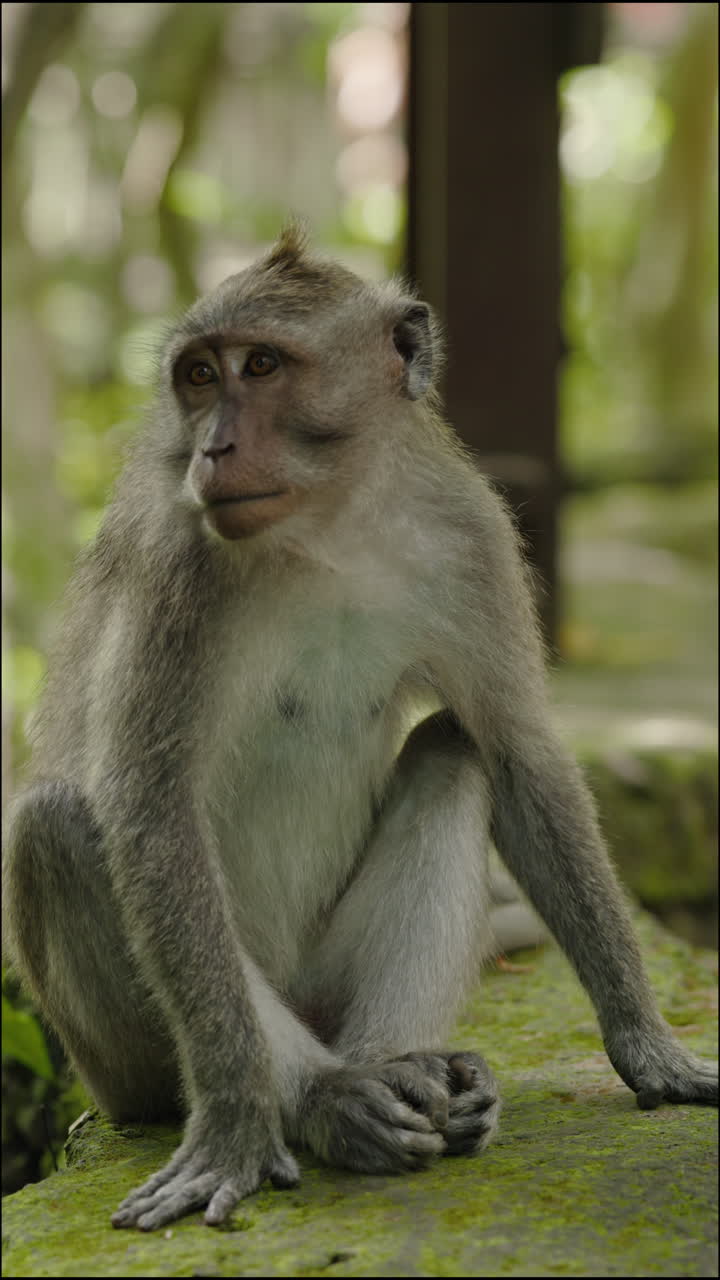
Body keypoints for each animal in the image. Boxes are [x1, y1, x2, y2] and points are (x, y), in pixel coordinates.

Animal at [3, 225, 717, 1232]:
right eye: (198, 376)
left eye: (261, 365)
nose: (213, 448)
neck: (328, 526)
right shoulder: (179, 565)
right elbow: (151, 810)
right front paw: (237, 1124)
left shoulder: (471, 536)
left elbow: (517, 752)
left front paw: (647, 1043)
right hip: (126, 1059)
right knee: (61, 824)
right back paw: (325, 1101)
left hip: (327, 982)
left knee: (455, 751)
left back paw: (404, 1069)